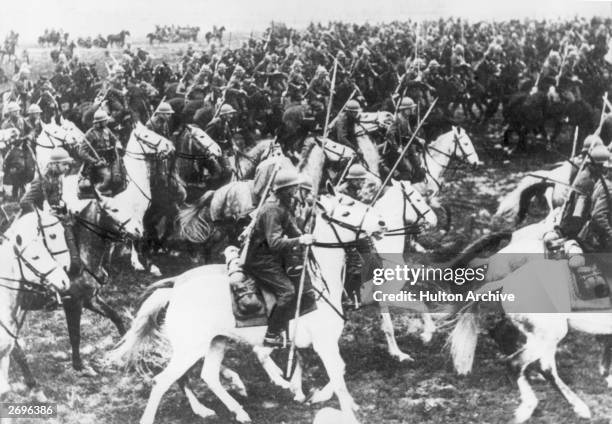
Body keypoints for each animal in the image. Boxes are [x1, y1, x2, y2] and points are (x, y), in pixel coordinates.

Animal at [110, 192, 388, 424]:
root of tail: (176, 289)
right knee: (164, 381)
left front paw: (304, 393)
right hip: (190, 348)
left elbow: (331, 370)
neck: (317, 285)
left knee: (208, 375)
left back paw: (239, 411)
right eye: (346, 212)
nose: (382, 223)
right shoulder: (324, 344)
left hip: (216, 342)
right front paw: (342, 409)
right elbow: (338, 376)